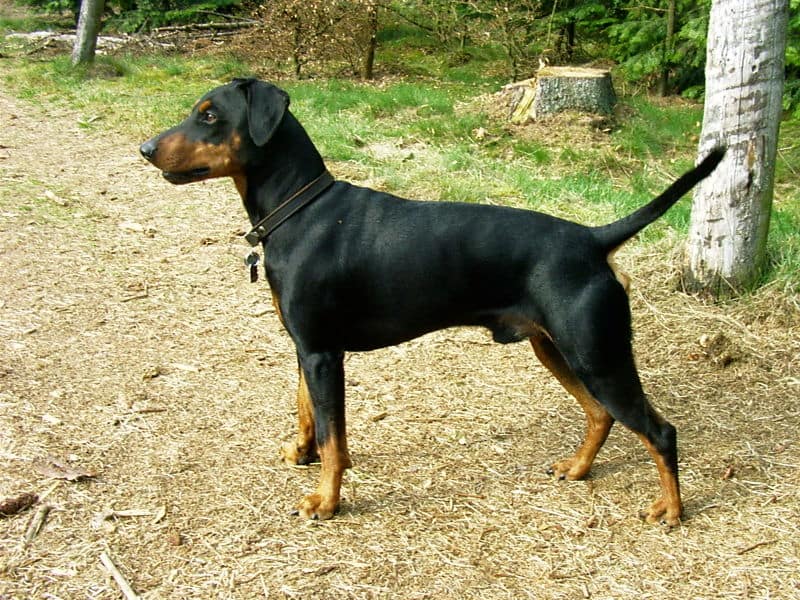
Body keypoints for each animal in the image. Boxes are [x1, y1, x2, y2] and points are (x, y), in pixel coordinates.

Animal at [141, 77, 728, 524]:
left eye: (210, 116)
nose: (145, 149)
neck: (299, 211)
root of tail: (592, 238)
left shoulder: (324, 354)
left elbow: (335, 438)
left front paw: (326, 501)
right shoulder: (304, 348)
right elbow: (307, 411)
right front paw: (301, 452)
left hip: (597, 355)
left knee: (660, 431)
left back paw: (671, 510)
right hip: (556, 349)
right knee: (600, 414)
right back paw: (578, 468)